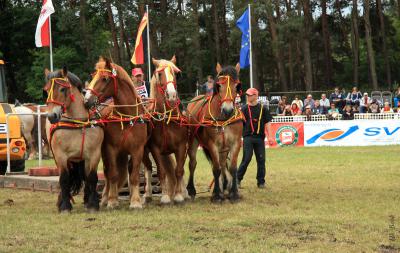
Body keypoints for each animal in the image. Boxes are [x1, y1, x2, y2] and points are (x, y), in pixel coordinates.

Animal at [43, 66, 104, 211]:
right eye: (46, 90)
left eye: (62, 89)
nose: (51, 116)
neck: (78, 122)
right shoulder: (60, 155)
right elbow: (64, 179)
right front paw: (65, 206)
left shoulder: (94, 154)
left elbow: (91, 177)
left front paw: (93, 204)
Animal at [83, 57, 149, 210]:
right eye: (93, 76)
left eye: (105, 78)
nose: (86, 100)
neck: (126, 118)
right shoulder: (111, 149)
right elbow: (113, 174)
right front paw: (112, 200)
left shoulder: (138, 150)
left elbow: (134, 175)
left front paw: (135, 201)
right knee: (108, 173)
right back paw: (105, 198)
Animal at [147, 55, 189, 204]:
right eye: (160, 74)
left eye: (176, 73)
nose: (171, 95)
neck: (166, 119)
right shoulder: (155, 149)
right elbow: (162, 172)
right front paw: (165, 196)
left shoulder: (181, 146)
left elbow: (179, 170)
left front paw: (179, 195)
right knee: (148, 168)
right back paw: (147, 194)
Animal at [186, 63, 242, 204]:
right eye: (219, 85)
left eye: (236, 86)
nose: (227, 109)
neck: (224, 119)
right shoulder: (212, 145)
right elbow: (216, 169)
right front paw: (216, 195)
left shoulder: (235, 143)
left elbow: (232, 168)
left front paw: (233, 193)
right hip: (193, 141)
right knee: (193, 164)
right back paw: (191, 190)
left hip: (223, 148)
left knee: (222, 163)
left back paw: (225, 186)